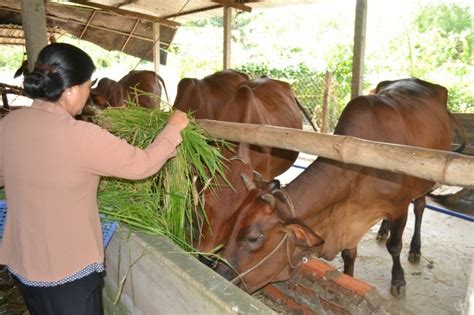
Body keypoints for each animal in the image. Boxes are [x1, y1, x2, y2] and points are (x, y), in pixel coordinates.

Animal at [216, 78, 466, 298]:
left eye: (253, 238)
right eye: (231, 226)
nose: (219, 273)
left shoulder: (398, 207)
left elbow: (395, 246)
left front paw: (398, 280)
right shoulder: (350, 219)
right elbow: (349, 254)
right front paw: (350, 277)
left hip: (424, 181)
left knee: (420, 207)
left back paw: (415, 249)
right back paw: (382, 230)